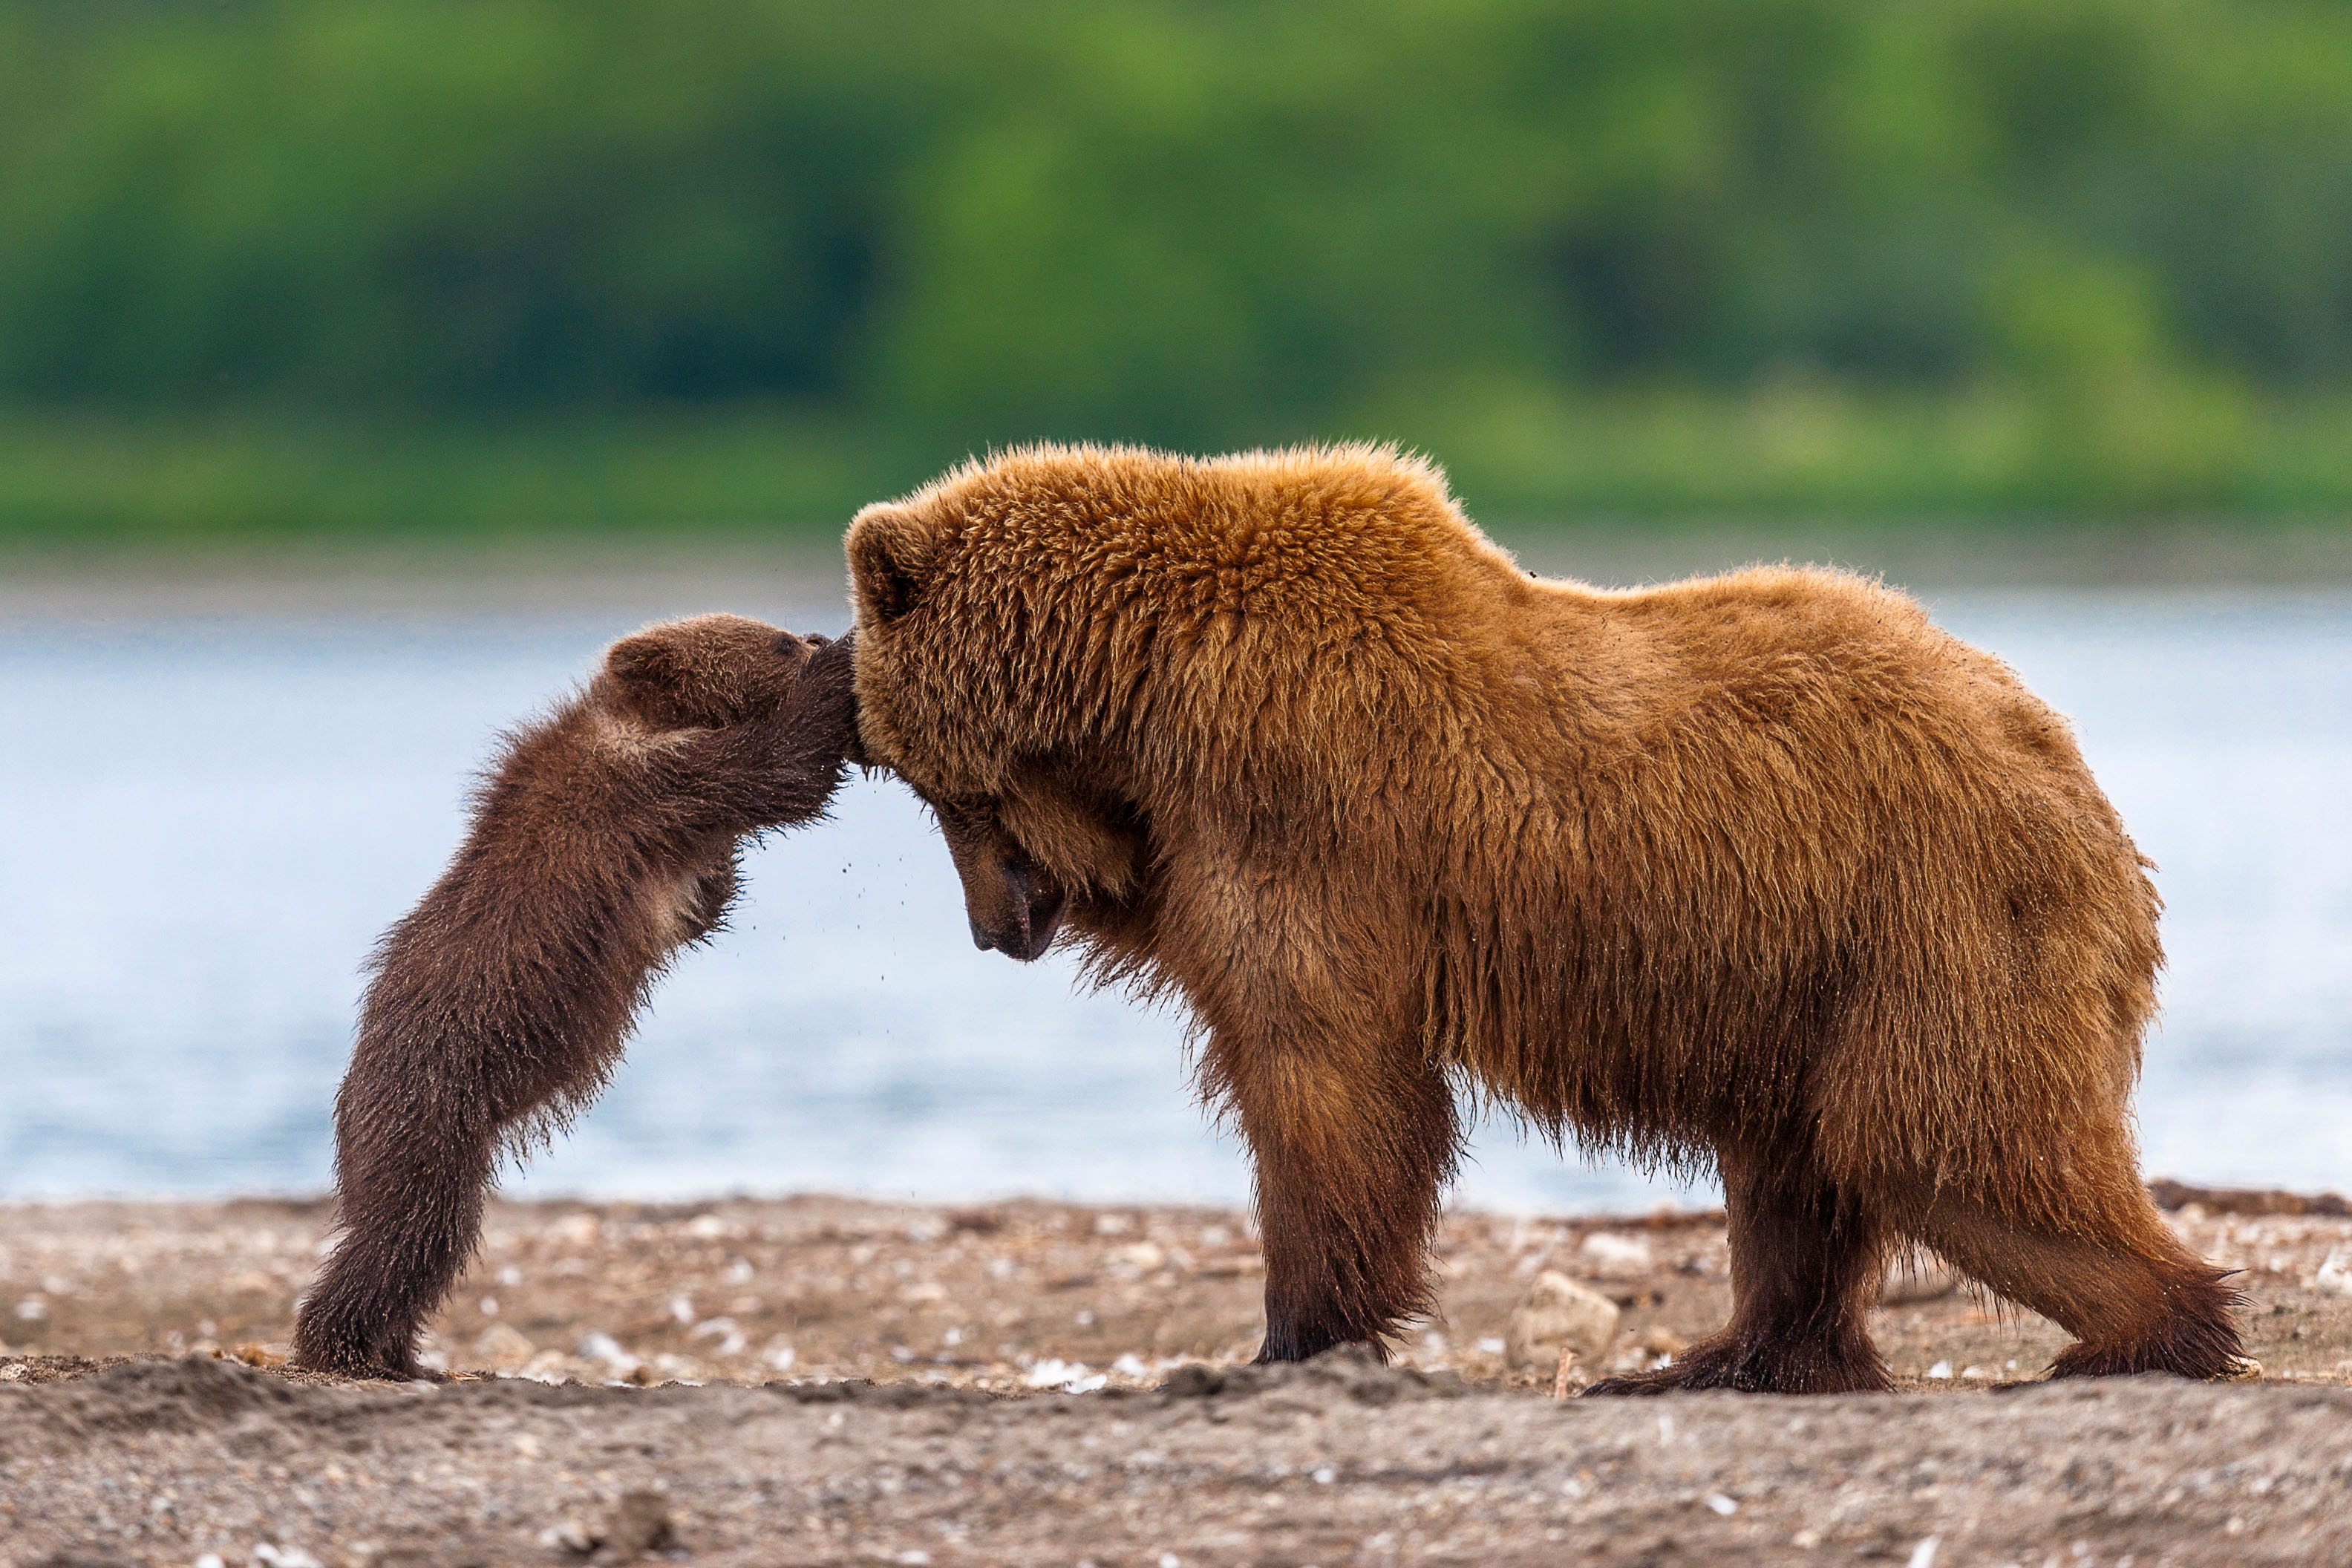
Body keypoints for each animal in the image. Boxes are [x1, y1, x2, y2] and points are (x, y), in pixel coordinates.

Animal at [846, 442, 2238, 1401]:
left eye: (928, 786)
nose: (995, 928)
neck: (1142, 684)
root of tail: (2082, 789)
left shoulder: (1295, 806)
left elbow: (1321, 1077)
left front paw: (1292, 1333)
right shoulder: (1199, 832)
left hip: (1934, 917)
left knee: (1940, 1140)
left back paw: (2140, 1331)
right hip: (1810, 975)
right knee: (1800, 1171)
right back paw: (1723, 1355)